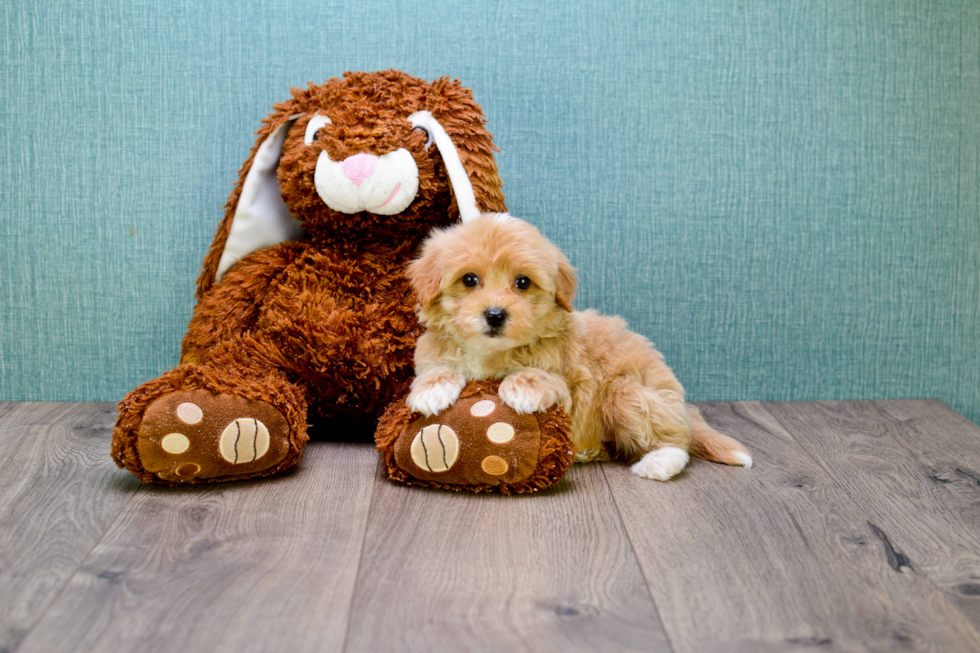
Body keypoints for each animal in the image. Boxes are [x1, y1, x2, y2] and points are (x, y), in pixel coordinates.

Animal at [404, 214, 752, 478]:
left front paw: (521, 388)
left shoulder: (567, 381)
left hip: (629, 394)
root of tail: (679, 404)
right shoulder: (433, 351)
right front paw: (431, 390)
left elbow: (539, 377)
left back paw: (658, 462)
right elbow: (437, 367)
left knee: (675, 442)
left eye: (522, 282)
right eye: (469, 280)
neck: (491, 353)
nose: (495, 314)